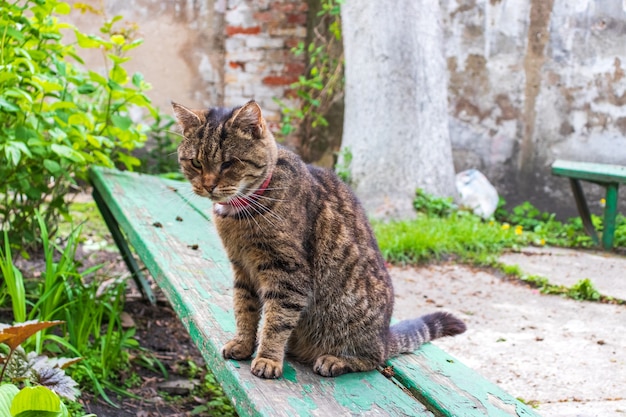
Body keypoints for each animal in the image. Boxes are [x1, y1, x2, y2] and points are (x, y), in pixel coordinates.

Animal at [171, 100, 464, 376]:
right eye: (196, 162)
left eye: (228, 163)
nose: (208, 185)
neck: (239, 212)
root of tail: (385, 334)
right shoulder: (242, 268)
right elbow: (244, 309)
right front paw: (243, 344)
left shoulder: (288, 272)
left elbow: (276, 321)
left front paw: (267, 358)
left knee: (373, 359)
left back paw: (335, 360)